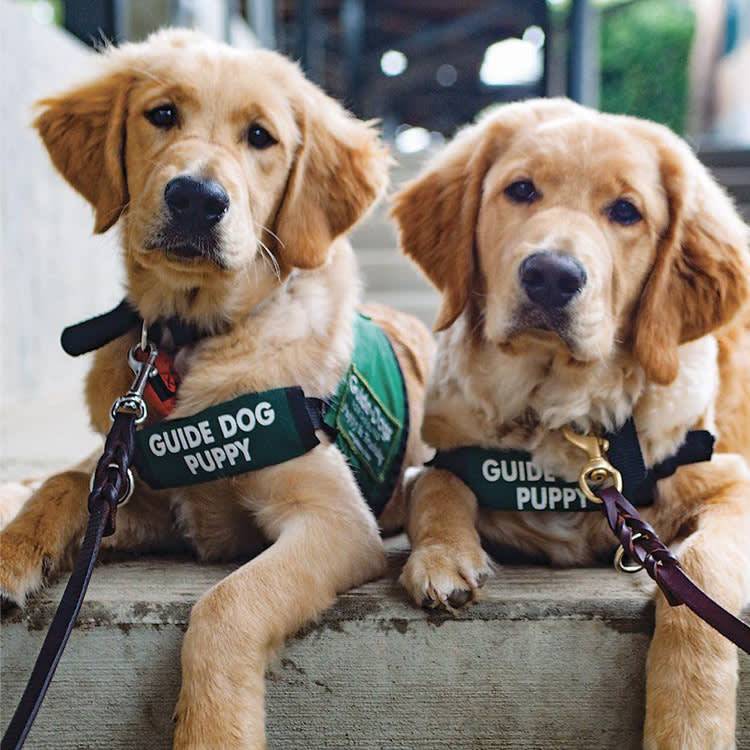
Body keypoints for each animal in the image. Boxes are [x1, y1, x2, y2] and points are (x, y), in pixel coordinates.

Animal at [0, 30, 434, 750]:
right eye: (162, 115)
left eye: (260, 136)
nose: (197, 198)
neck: (190, 338)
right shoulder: (144, 493)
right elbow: (67, 482)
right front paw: (12, 553)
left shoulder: (337, 521)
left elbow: (226, 603)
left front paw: (212, 729)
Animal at [394, 97, 750, 748]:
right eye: (521, 189)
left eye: (626, 211)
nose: (552, 275)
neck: (567, 415)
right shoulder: (446, 453)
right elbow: (435, 484)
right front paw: (441, 556)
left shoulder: (732, 482)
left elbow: (698, 576)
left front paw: (689, 720)